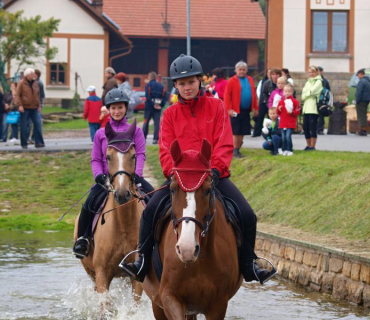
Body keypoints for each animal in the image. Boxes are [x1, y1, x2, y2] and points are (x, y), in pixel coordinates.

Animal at [142, 139, 243, 320]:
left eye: (208, 190)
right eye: (172, 189)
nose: (187, 249)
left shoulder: (218, 305)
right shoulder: (170, 298)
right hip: (157, 305)